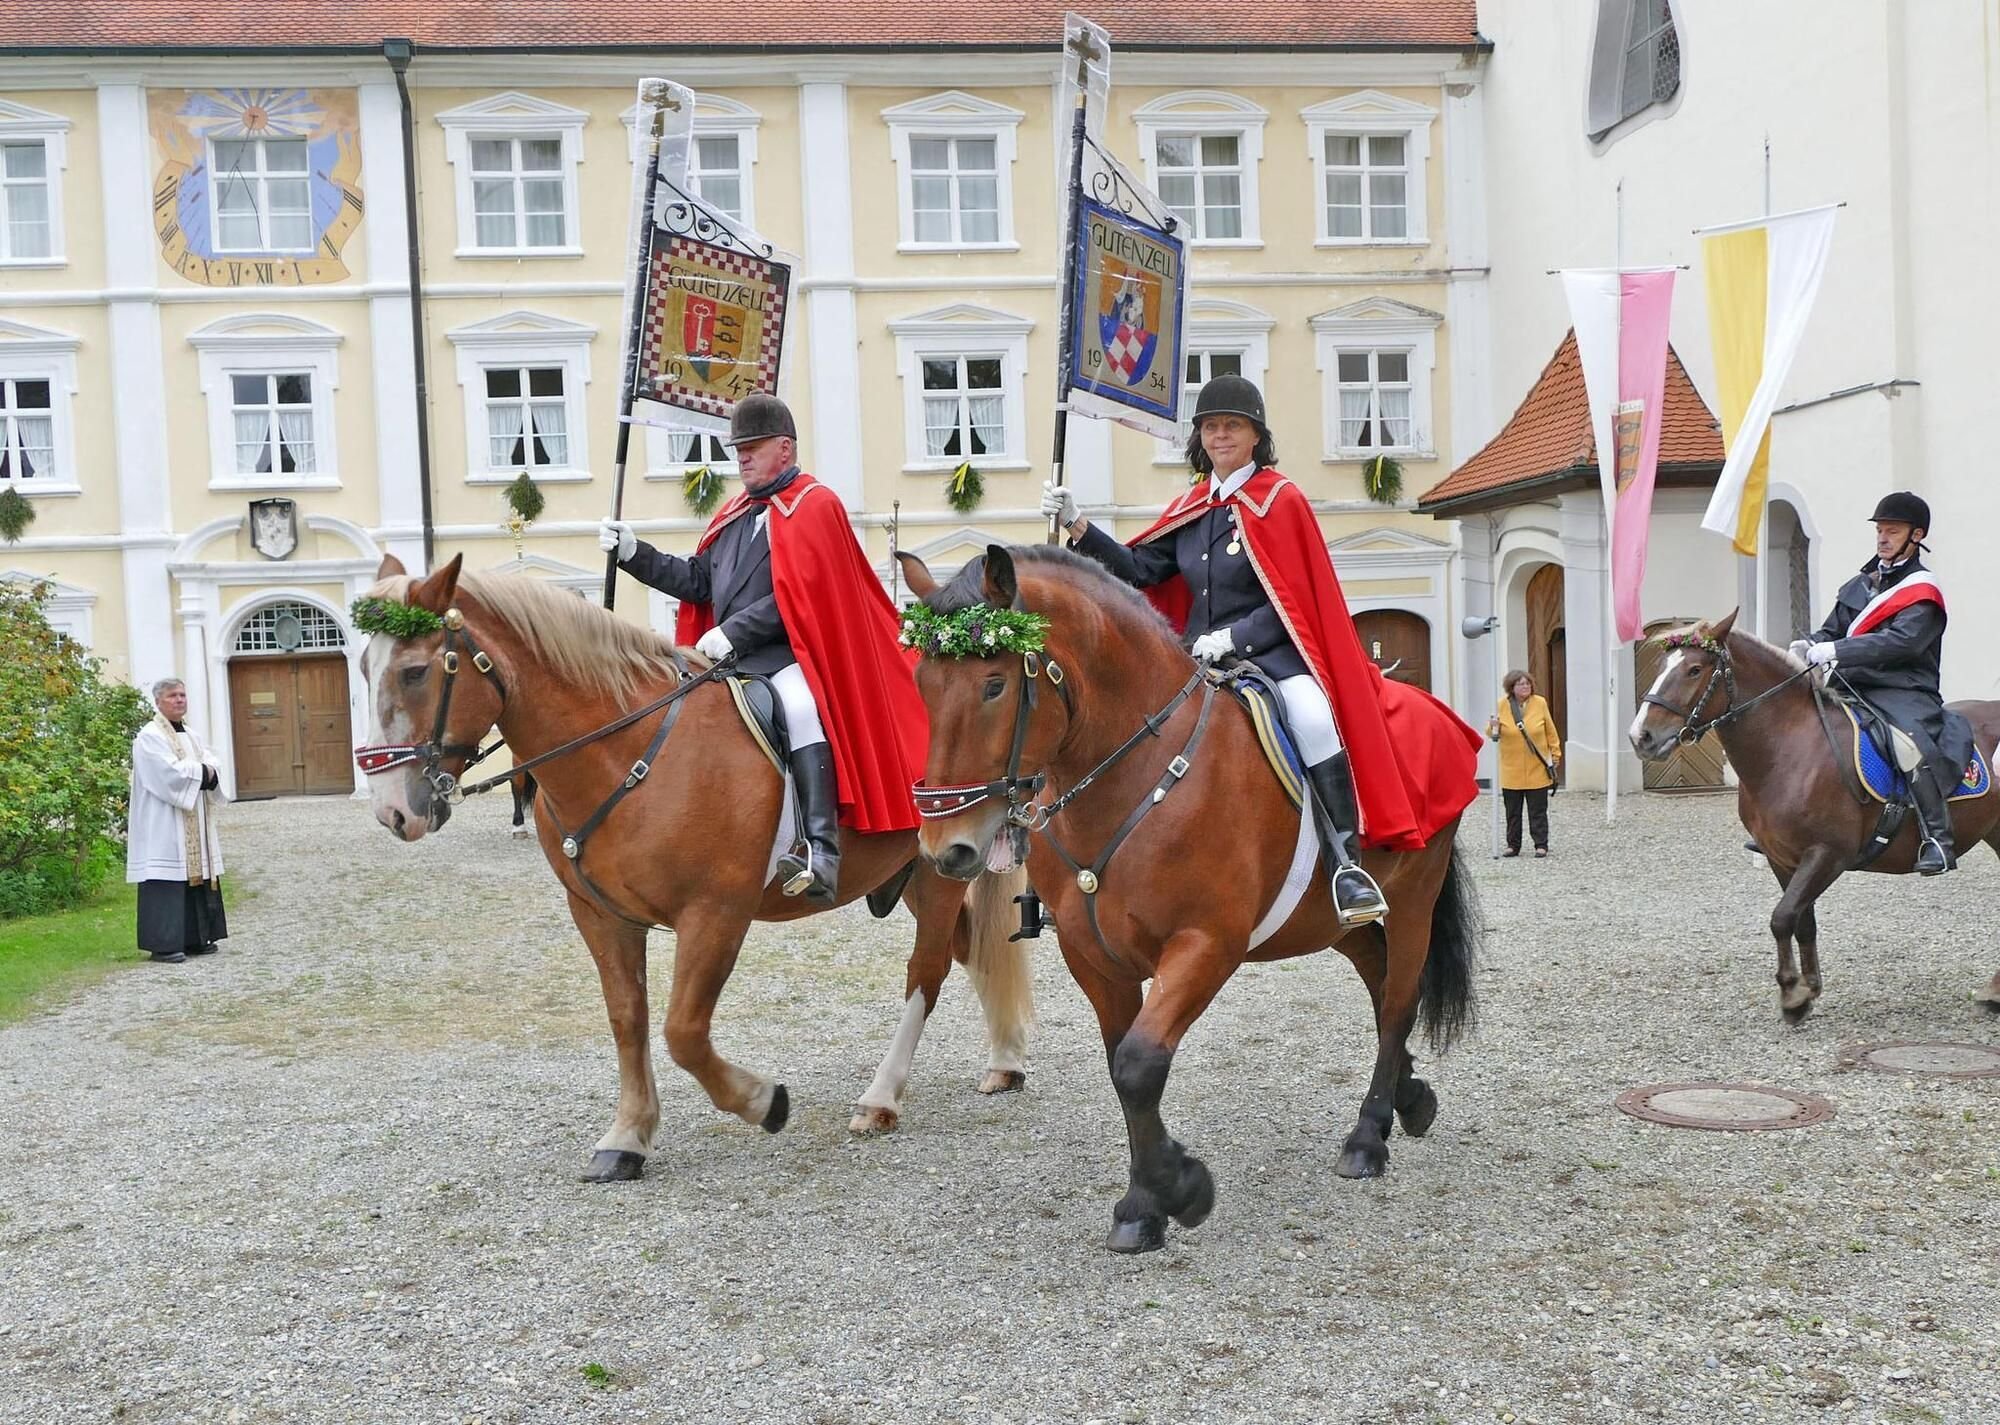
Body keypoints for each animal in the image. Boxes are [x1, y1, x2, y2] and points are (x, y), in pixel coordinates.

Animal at [352, 552, 1032, 1176]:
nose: (391, 811)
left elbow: (682, 1031)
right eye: (363, 667)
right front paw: (628, 1135)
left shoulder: (715, 913)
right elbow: (628, 1018)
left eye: (415, 672)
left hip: (940, 871)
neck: (627, 750)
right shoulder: (599, 914)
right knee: (972, 948)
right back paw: (1005, 1060)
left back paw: (882, 1096)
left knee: (928, 970)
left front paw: (762, 1101)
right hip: (923, 870)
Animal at [900, 544, 1480, 1256]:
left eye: (994, 684)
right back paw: (1409, 1096)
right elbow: (1122, 1068)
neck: (1136, 775)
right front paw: (1145, 1203)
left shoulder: (1205, 945)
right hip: (1335, 923)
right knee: (1379, 984)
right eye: (922, 685)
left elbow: (1140, 1064)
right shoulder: (1094, 958)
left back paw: (1368, 1137)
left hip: (1414, 901)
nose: (944, 847)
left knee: (1398, 1002)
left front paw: (1179, 1189)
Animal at [1624, 612, 2000, 1024]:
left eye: (1694, 670)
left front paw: (1793, 994)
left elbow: (1782, 916)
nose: (1641, 737)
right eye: (1661, 665)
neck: (1788, 750)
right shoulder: (1781, 857)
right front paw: (1806, 988)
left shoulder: (1827, 854)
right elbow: (1800, 920)